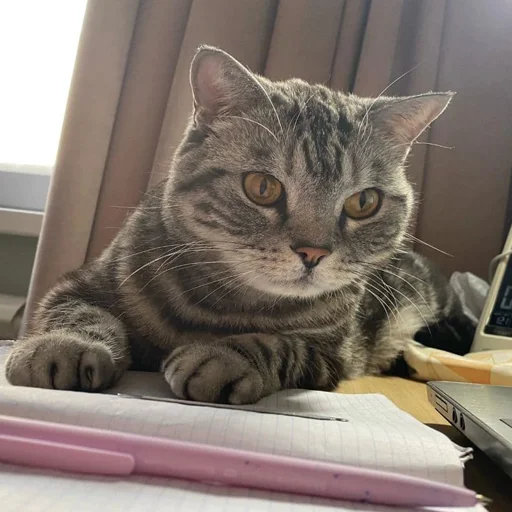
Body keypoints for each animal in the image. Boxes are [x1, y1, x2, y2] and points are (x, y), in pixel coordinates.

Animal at [5, 46, 474, 404]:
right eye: (262, 187)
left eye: (363, 202)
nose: (314, 252)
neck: (227, 305)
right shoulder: (77, 284)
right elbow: (80, 312)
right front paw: (64, 347)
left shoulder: (332, 355)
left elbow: (279, 343)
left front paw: (224, 357)